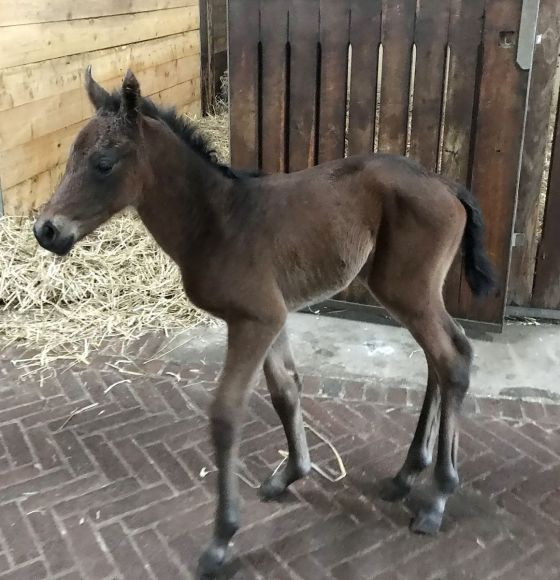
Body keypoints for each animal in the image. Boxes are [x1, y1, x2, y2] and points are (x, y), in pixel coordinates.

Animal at [34, 70, 494, 576]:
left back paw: (436, 498)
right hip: (411, 293)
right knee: (441, 359)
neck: (217, 221)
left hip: (406, 290)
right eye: (70, 157)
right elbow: (285, 391)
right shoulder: (272, 317)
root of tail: (447, 184)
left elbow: (226, 414)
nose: (46, 230)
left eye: (103, 163)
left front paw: (221, 538)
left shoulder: (255, 320)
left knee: (452, 360)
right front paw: (290, 475)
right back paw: (406, 475)